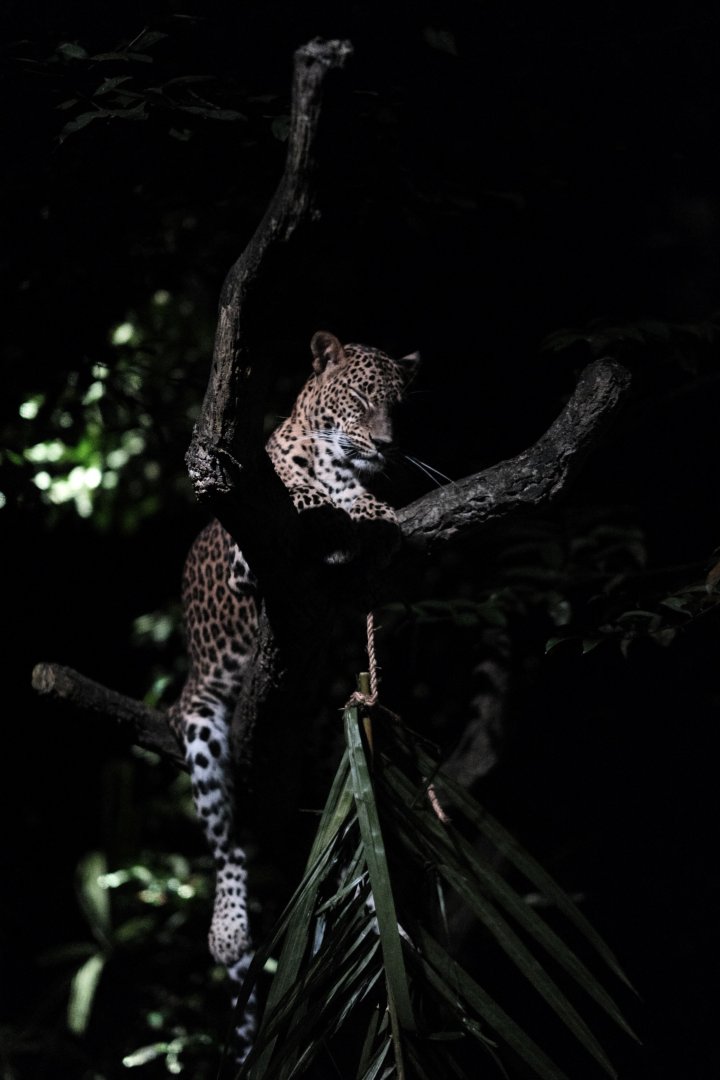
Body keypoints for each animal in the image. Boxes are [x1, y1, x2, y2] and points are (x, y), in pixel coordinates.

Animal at [167, 331, 418, 1037]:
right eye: (363, 397)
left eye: (401, 405)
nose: (387, 444)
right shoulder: (249, 555)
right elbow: (311, 501)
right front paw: (352, 511)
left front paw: (374, 511)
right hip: (198, 718)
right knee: (226, 842)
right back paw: (227, 931)